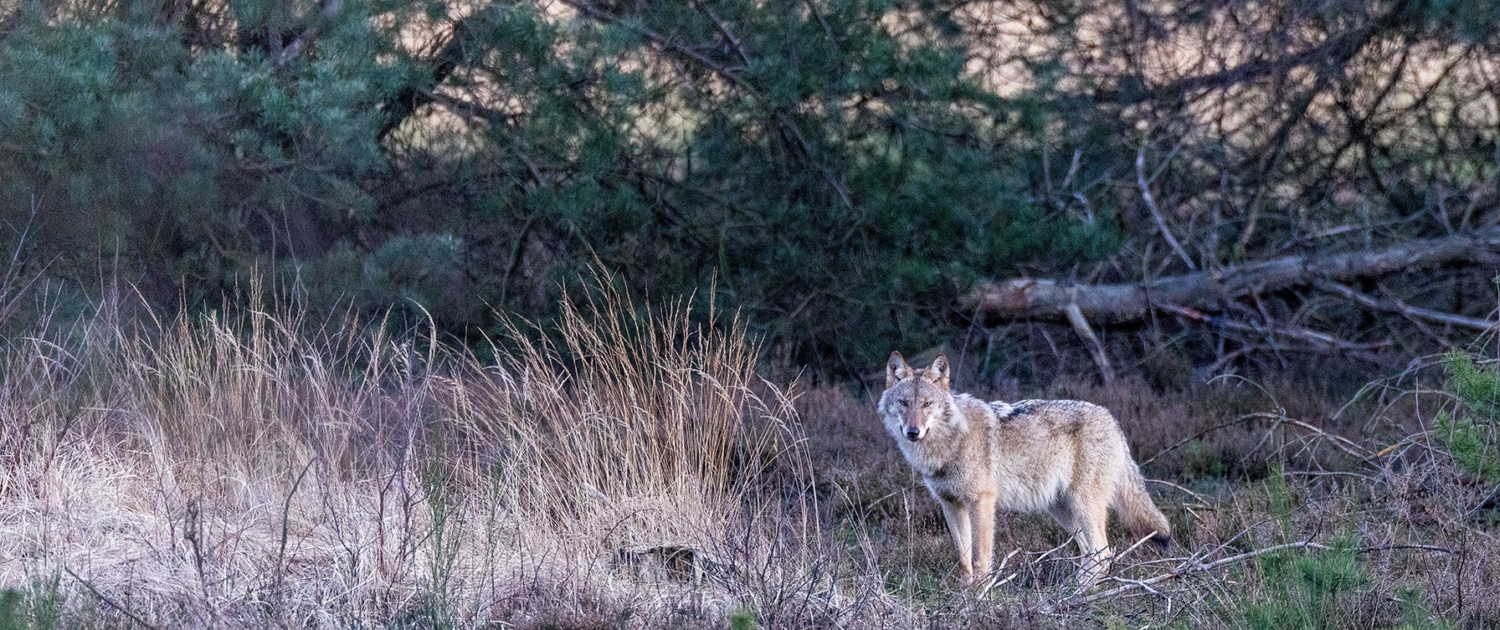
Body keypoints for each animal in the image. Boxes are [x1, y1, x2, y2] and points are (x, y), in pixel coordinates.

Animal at [876, 352, 1170, 588]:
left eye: (927, 404)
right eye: (904, 402)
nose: (913, 432)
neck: (949, 441)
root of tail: (1112, 419)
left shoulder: (982, 502)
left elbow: (981, 558)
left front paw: (979, 598)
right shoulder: (950, 504)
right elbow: (964, 560)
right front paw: (963, 594)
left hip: (1082, 504)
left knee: (1104, 553)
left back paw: (1075, 595)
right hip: (1061, 509)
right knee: (1090, 553)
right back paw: (1068, 593)